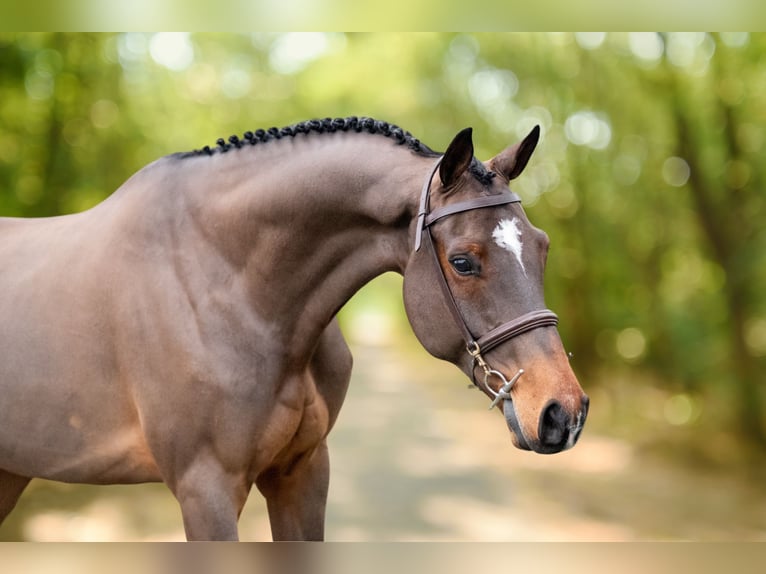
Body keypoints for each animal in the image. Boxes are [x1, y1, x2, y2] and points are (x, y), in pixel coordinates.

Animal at [0, 118, 592, 544]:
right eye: (464, 262)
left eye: (541, 246)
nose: (563, 413)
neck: (231, 288)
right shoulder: (205, 490)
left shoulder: (302, 473)